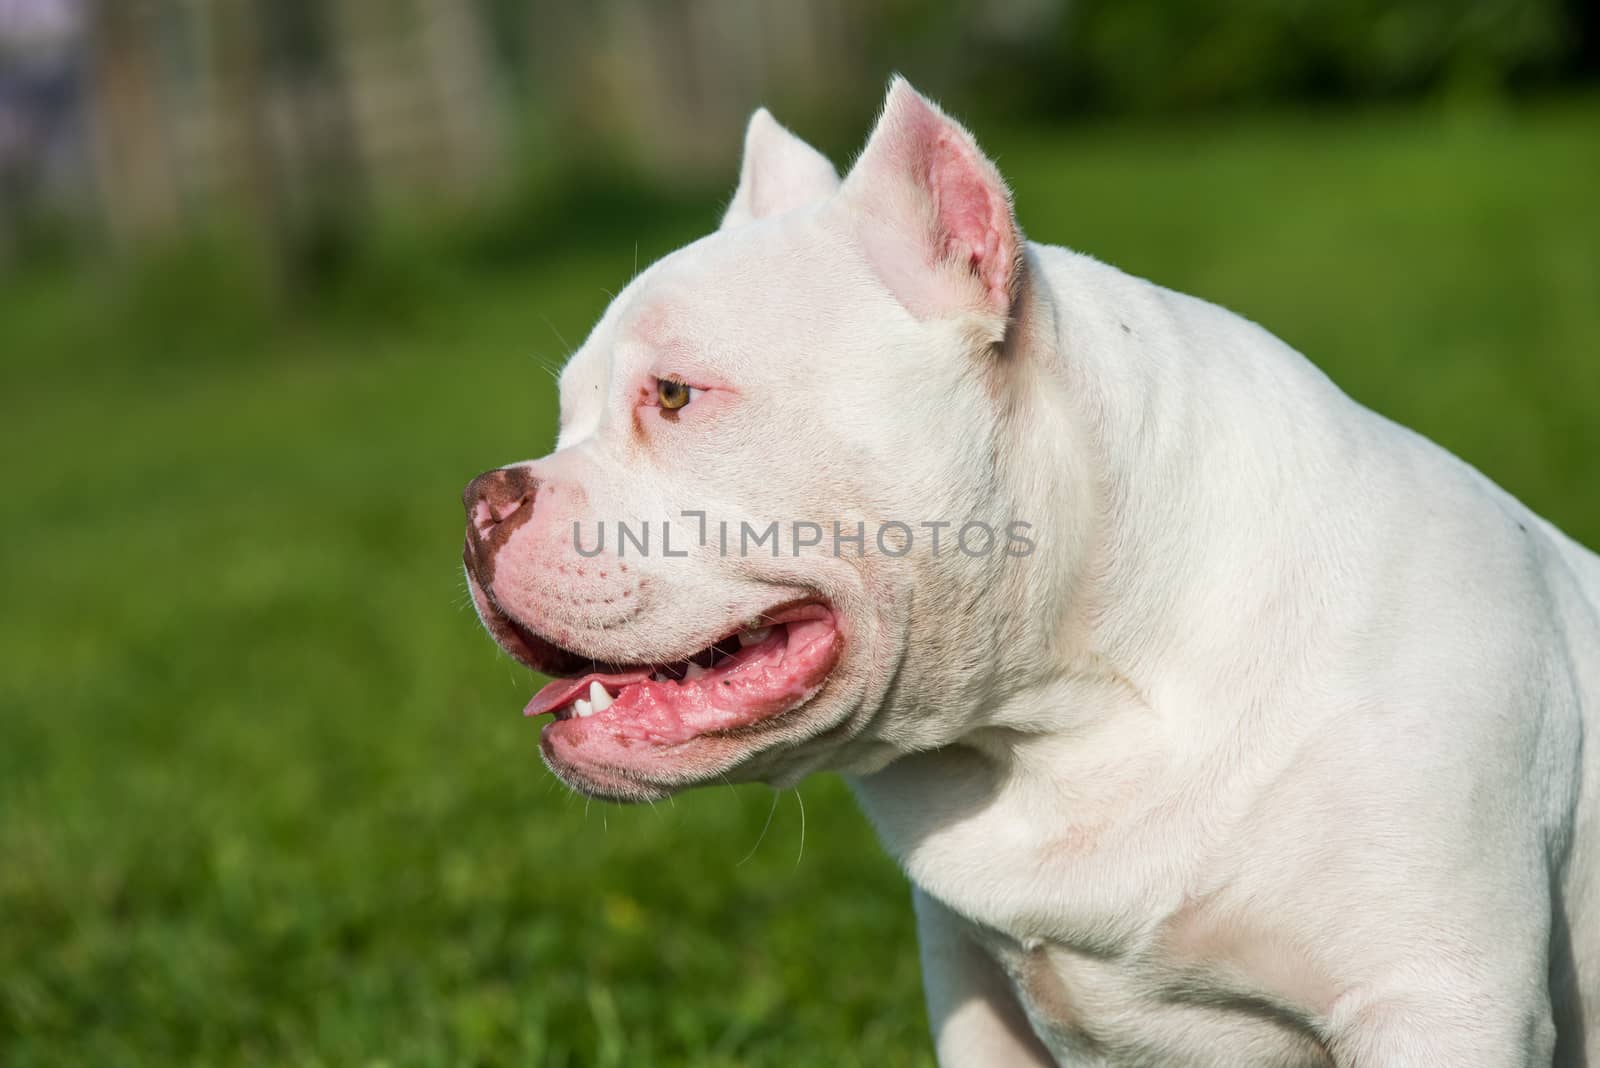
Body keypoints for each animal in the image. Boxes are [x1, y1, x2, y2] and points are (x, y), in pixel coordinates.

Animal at [457, 79, 1593, 1061]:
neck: (1067, 710)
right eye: (566, 414)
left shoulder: (1439, 1001)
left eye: (676, 396)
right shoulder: (973, 992)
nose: (479, 501)